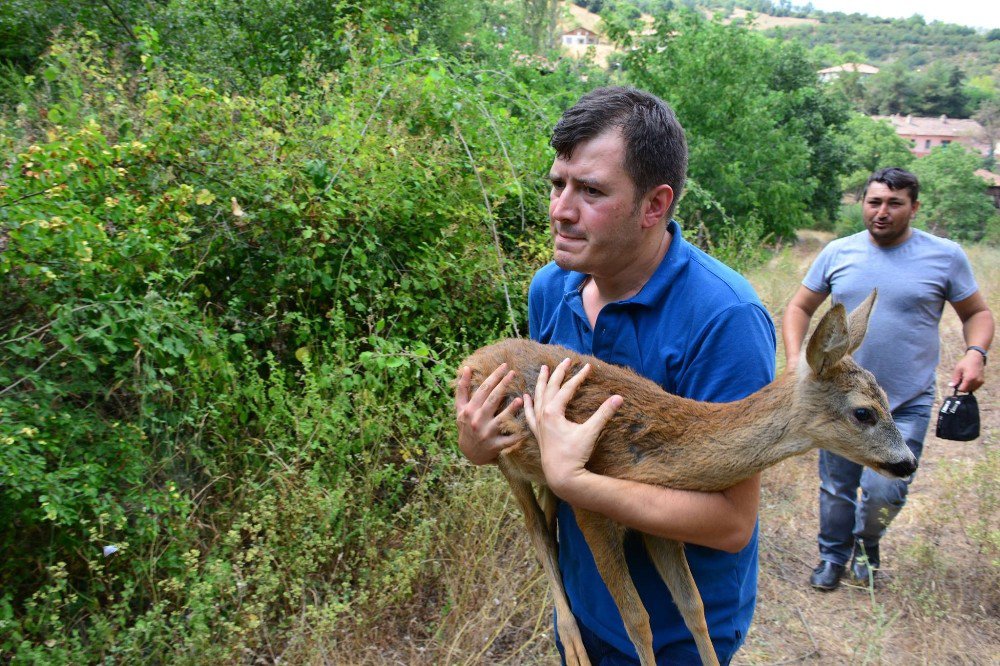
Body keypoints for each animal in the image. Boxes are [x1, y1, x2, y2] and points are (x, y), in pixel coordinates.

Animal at [460, 292, 916, 664]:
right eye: (864, 412)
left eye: (887, 398)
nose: (908, 462)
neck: (657, 460)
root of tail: (474, 357)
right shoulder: (591, 510)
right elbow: (637, 619)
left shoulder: (657, 522)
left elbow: (693, 607)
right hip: (504, 458)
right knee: (537, 532)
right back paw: (573, 644)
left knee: (549, 523)